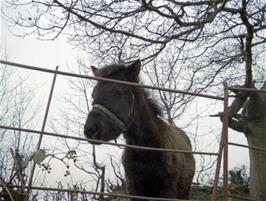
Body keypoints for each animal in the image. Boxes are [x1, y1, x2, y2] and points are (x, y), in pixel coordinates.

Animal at [84, 59, 195, 199]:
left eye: (119, 92)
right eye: (93, 94)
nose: (90, 130)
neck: (148, 148)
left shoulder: (169, 191)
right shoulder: (134, 190)